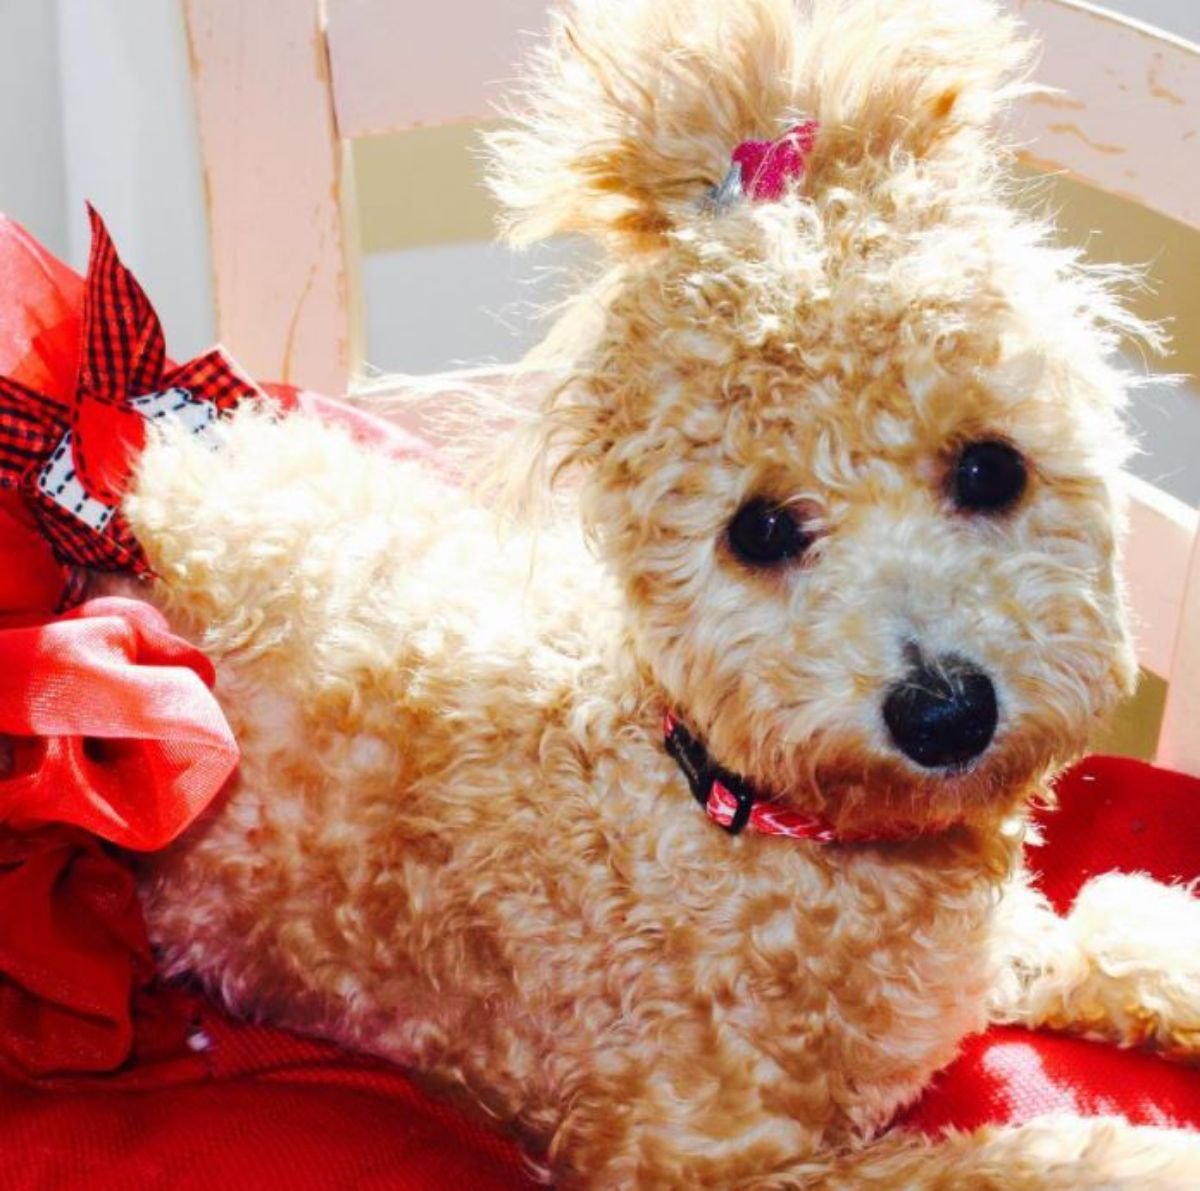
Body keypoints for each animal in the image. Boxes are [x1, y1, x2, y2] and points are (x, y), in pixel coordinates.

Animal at [119, 0, 1200, 1181]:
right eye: (759, 530)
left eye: (991, 468)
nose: (946, 711)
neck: (733, 805)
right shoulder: (693, 1157)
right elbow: (998, 1163)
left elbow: (1112, 928)